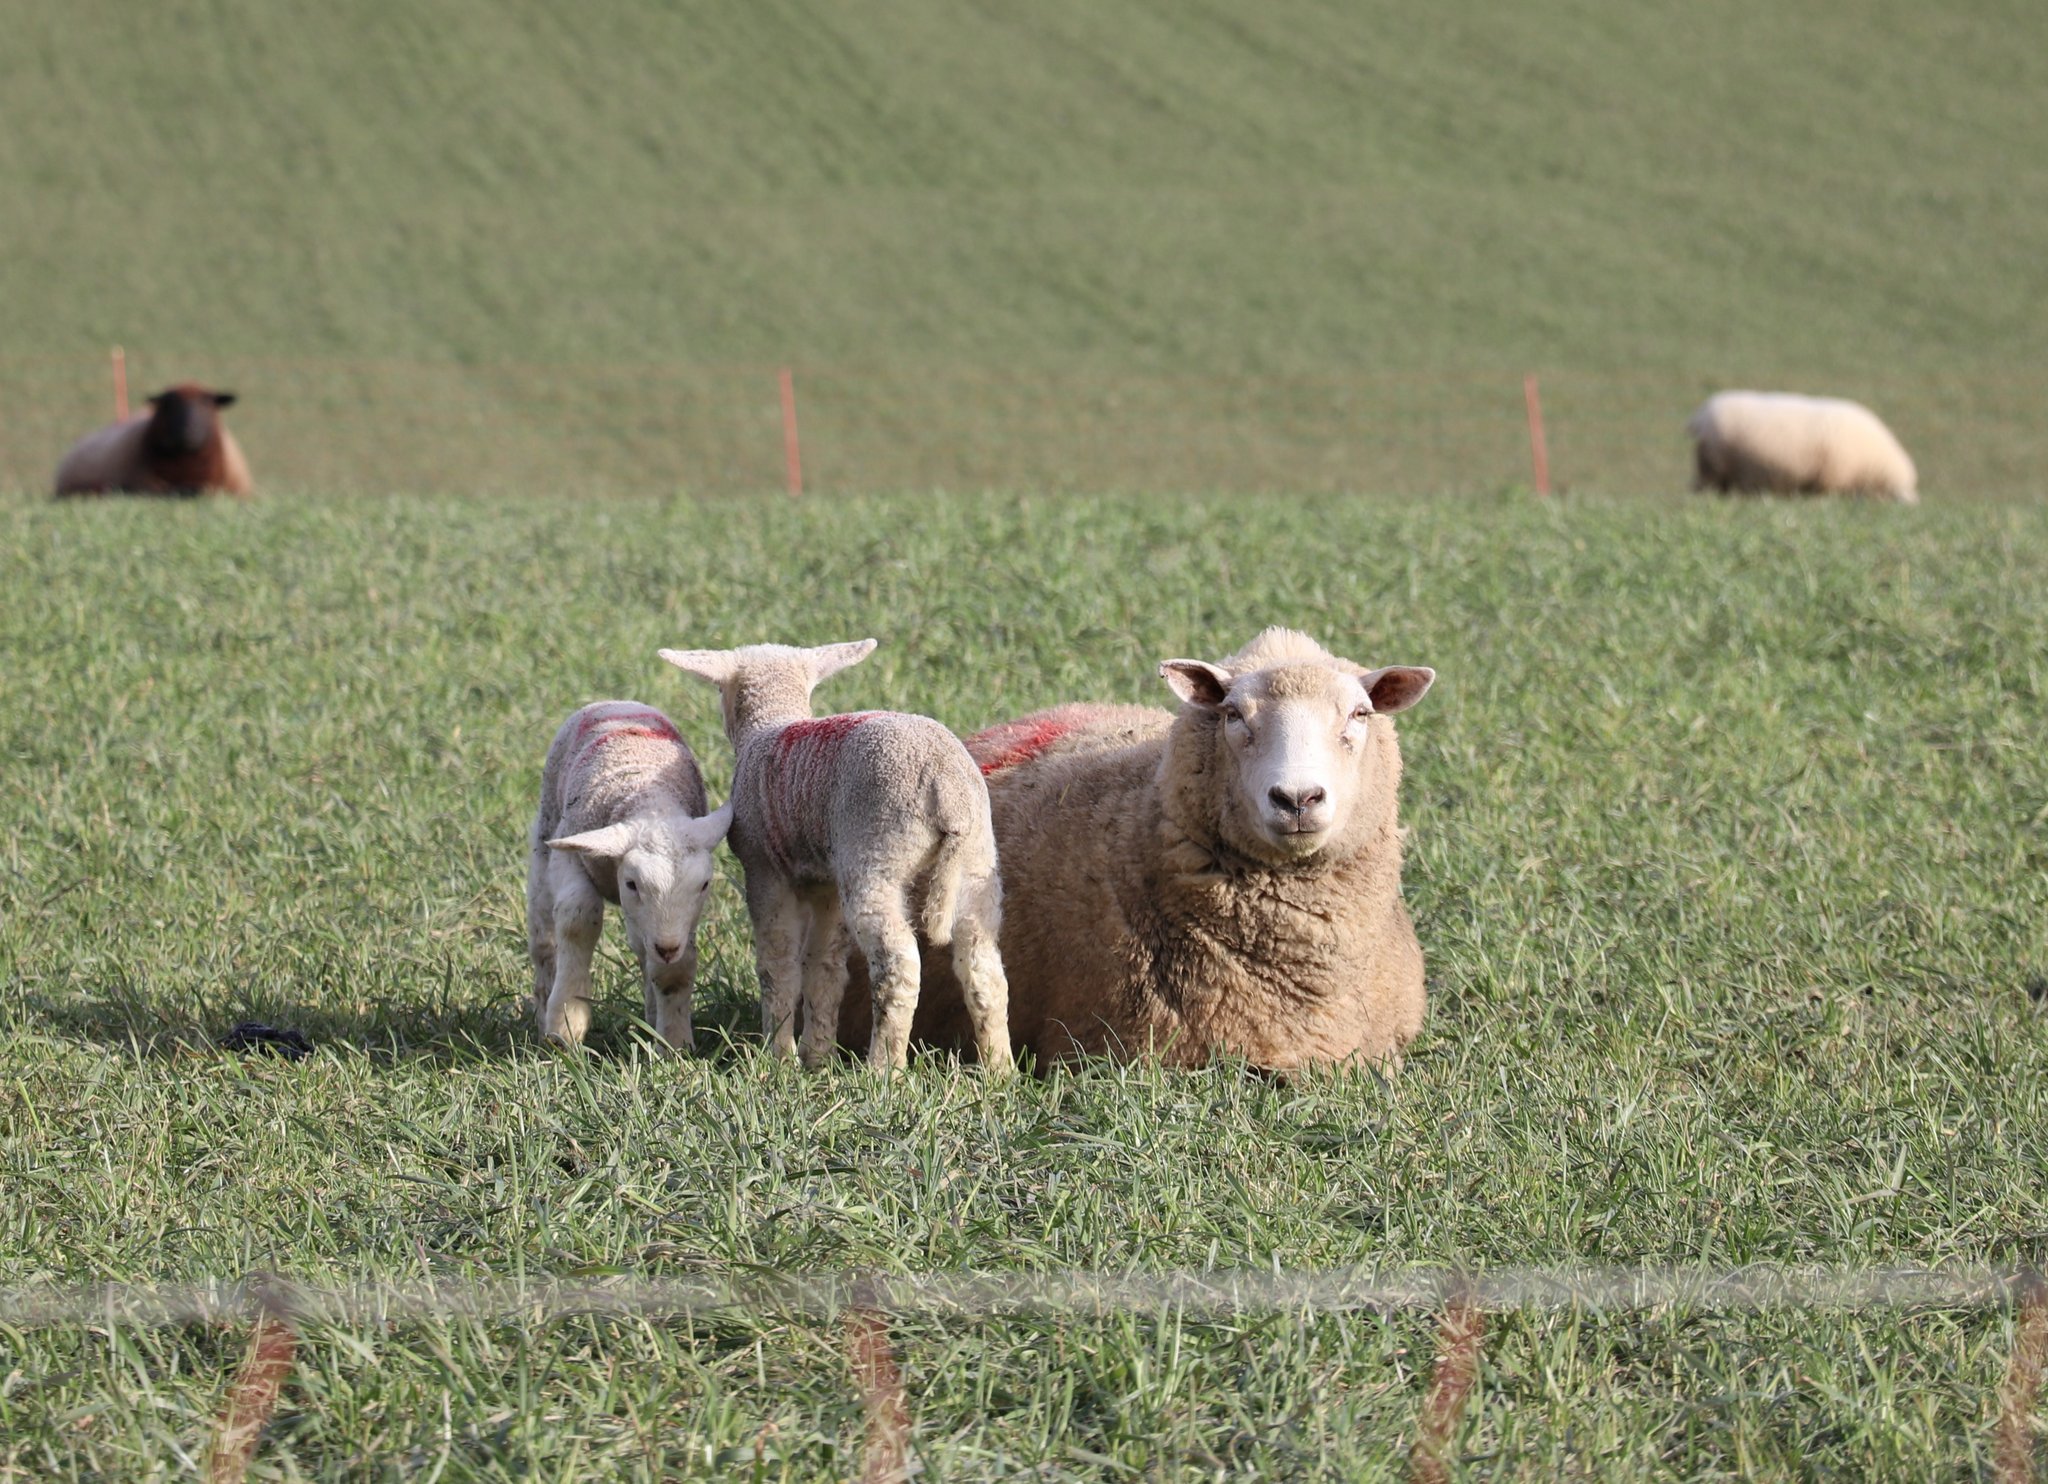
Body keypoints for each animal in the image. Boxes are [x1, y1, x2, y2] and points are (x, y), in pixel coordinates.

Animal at [527, 700, 732, 1049]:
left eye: (704, 885)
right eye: (632, 883)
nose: (667, 948)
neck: (649, 801)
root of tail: (615, 702)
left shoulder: (679, 924)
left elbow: (674, 972)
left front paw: (675, 1043)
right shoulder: (570, 856)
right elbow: (577, 920)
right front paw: (565, 1025)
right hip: (546, 837)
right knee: (544, 940)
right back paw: (544, 1017)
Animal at [658, 640, 1013, 1073]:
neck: (770, 724)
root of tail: (946, 788)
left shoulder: (763, 871)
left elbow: (778, 965)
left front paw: (780, 1056)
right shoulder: (824, 880)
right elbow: (824, 968)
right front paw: (816, 1056)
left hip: (874, 853)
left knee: (898, 964)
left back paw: (884, 1068)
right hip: (977, 865)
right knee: (983, 968)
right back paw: (1000, 1068)